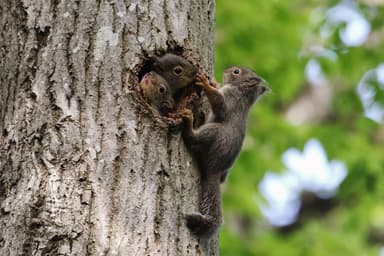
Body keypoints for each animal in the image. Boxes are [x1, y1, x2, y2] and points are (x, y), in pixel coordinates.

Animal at [181, 66, 268, 238]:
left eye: (236, 72)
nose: (226, 70)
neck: (241, 90)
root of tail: (216, 169)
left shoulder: (231, 99)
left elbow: (219, 104)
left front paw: (207, 84)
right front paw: (214, 82)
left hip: (214, 132)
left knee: (194, 139)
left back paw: (188, 125)